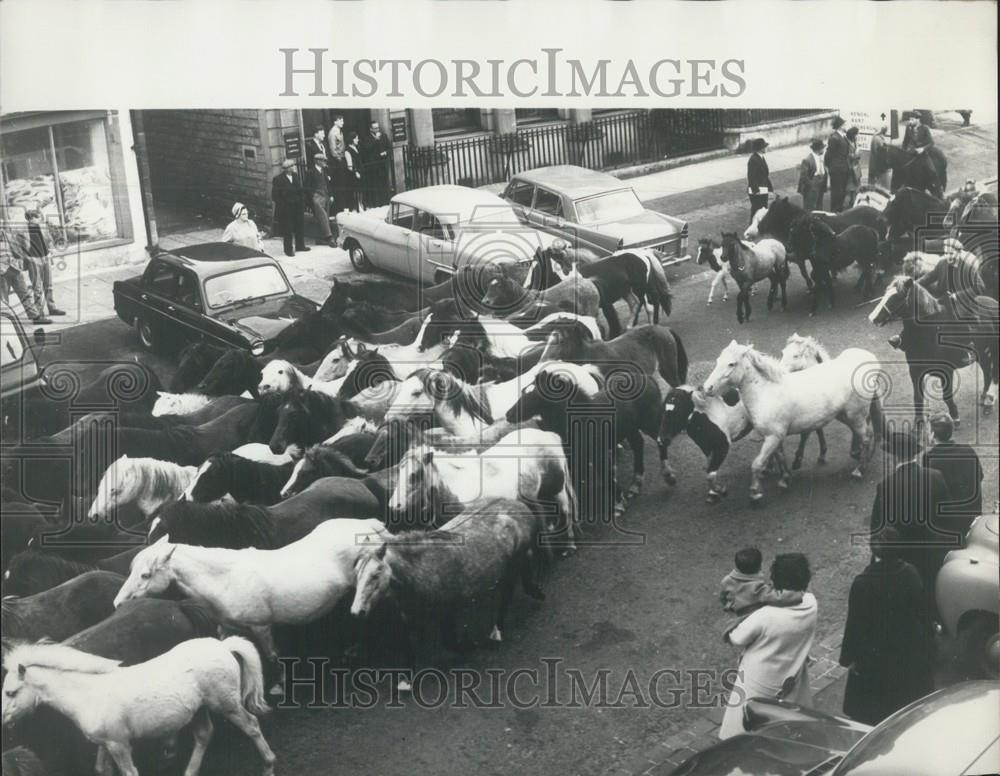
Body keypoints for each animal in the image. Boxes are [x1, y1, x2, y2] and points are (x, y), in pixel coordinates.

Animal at [1, 636, 276, 776]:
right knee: (204, 735)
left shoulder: (119, 745)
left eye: (10, 692)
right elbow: (101, 769)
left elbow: (129, 772)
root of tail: (222, 645)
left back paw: (268, 765)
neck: (89, 694)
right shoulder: (106, 743)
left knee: (251, 725)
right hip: (200, 708)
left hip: (225, 704)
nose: (3, 721)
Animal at [113, 520, 386, 664]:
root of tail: (365, 525)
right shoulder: (227, 627)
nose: (118, 604)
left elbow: (271, 655)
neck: (225, 580)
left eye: (145, 575)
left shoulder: (261, 627)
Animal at [390, 428, 580, 548]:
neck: (457, 485)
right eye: (398, 472)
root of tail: (548, 434)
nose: (393, 506)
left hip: (558, 489)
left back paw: (570, 545)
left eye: (414, 475)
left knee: (566, 511)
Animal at [704, 342, 884, 504]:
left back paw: (859, 470)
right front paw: (785, 479)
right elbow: (780, 457)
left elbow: (757, 464)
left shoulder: (772, 437)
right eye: (718, 360)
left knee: (867, 437)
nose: (707, 388)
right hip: (844, 416)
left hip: (856, 416)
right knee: (868, 435)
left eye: (731, 363)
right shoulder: (775, 437)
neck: (766, 392)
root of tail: (869, 360)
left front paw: (755, 493)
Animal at [868, 278, 1000, 422]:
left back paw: (989, 400)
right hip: (981, 352)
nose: (872, 318)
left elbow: (946, 396)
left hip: (993, 349)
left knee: (994, 374)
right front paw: (919, 421)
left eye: (897, 297)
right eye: (886, 293)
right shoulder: (914, 371)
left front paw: (955, 416)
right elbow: (917, 398)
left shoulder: (946, 371)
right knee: (987, 372)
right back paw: (984, 396)